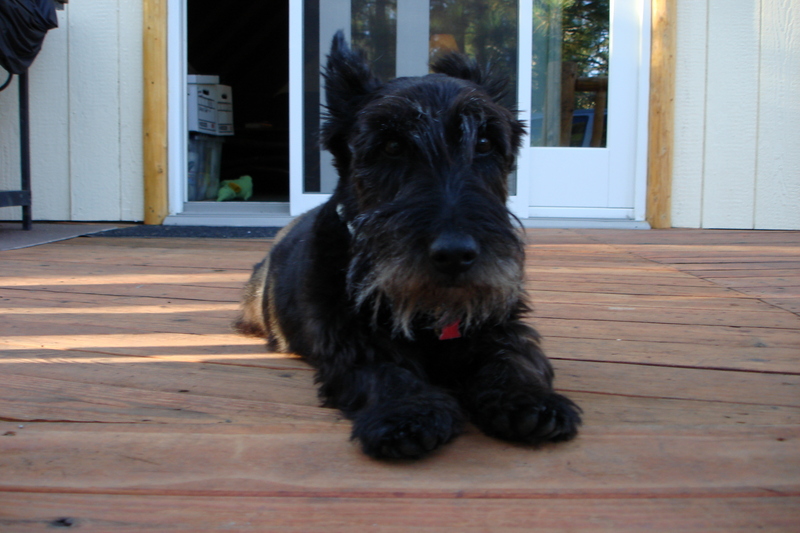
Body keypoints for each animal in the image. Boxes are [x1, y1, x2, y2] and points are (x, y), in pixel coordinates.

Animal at [238, 32, 580, 458]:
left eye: (484, 143)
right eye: (392, 146)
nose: (455, 255)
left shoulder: (502, 322)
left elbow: (513, 355)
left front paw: (528, 399)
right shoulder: (353, 342)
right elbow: (386, 370)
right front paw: (409, 412)